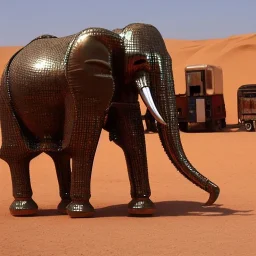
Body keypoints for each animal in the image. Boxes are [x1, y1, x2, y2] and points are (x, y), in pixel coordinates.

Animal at [0, 23, 220, 218]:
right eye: (139, 62)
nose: (210, 200)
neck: (115, 36)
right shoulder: (84, 84)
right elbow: (84, 142)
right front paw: (81, 213)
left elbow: (132, 136)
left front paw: (142, 210)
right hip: (5, 96)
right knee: (17, 153)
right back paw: (25, 210)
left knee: (59, 155)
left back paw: (62, 208)